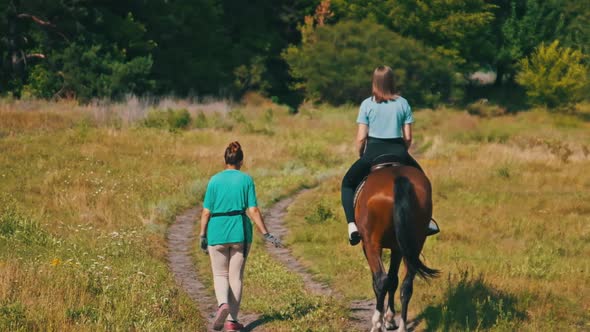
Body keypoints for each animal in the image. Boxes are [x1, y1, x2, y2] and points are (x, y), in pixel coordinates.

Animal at [356, 165, 440, 330]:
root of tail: (398, 177)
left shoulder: (367, 245)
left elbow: (379, 281)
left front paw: (386, 319)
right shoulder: (398, 249)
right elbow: (393, 280)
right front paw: (390, 319)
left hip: (372, 243)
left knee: (381, 280)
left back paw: (376, 323)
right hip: (415, 244)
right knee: (406, 285)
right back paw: (402, 326)